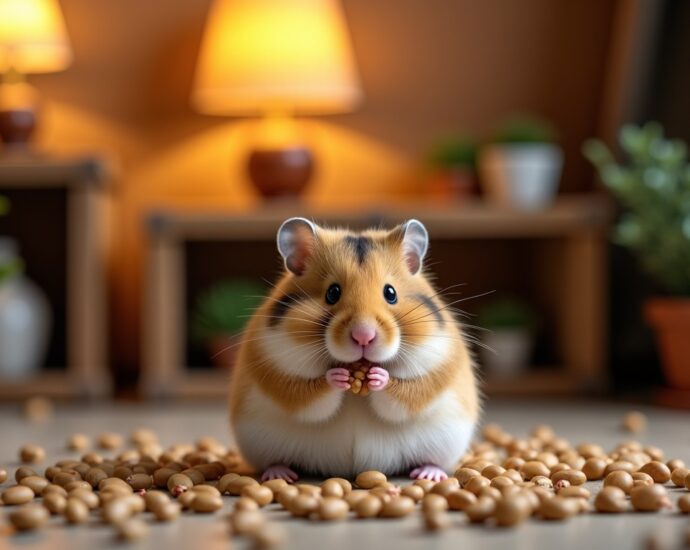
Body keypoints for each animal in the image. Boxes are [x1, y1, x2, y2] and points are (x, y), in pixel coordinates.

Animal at [229, 217, 479, 483]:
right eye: (332, 292)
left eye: (391, 293)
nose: (363, 336)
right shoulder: (279, 374)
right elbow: (310, 394)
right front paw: (338, 376)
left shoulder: (432, 373)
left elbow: (404, 392)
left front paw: (378, 376)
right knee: (273, 461)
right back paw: (279, 474)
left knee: (434, 460)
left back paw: (429, 474)